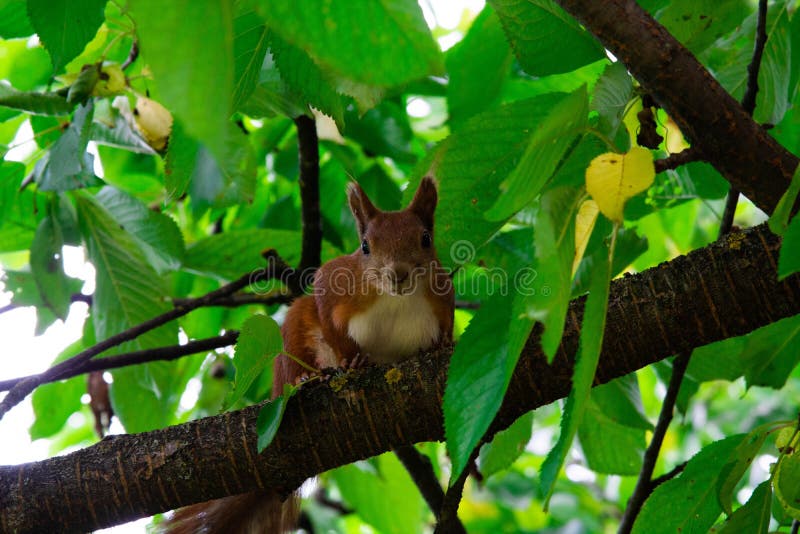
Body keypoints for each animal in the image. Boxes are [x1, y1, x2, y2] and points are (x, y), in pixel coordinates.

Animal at [162, 176, 454, 533]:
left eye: (425, 239)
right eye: (365, 246)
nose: (397, 274)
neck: (395, 298)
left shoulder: (444, 296)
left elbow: (447, 328)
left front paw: (441, 346)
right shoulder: (333, 283)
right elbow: (330, 321)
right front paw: (352, 360)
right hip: (294, 336)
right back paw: (309, 376)